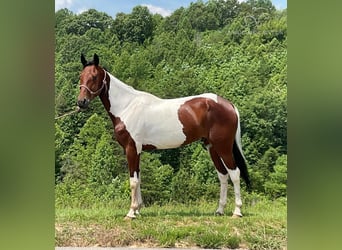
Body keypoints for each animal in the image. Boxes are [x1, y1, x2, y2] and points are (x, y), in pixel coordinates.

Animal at [76, 53, 250, 219]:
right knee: (223, 175)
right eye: (81, 76)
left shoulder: (131, 148)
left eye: (94, 77)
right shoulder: (137, 150)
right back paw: (220, 210)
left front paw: (131, 212)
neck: (127, 106)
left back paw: (237, 211)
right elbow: (139, 179)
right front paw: (138, 210)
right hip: (212, 147)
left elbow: (133, 181)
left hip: (223, 147)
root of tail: (229, 105)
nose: (81, 102)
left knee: (235, 173)